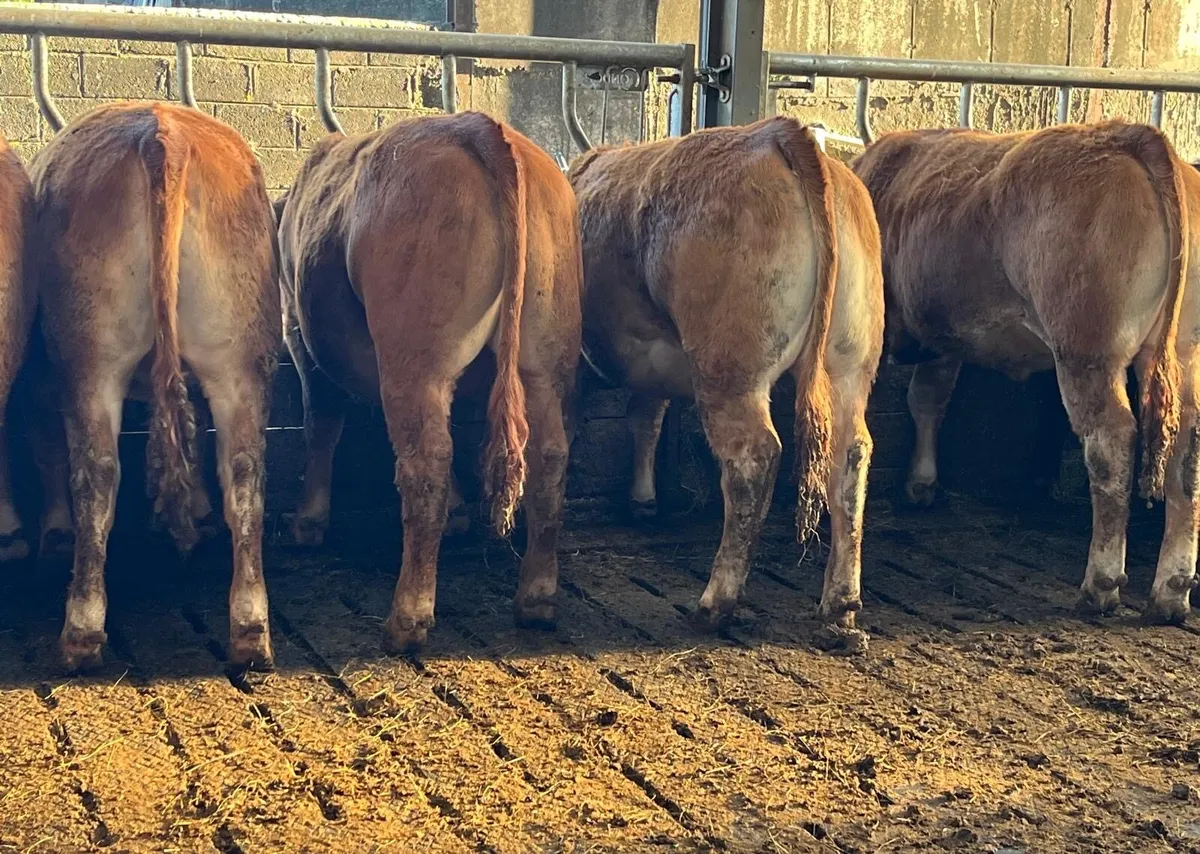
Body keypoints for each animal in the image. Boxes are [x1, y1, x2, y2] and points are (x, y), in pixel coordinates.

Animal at [31, 102, 281, 672]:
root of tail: (164, 132)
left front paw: (53, 532)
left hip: (92, 359)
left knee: (97, 474)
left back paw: (81, 630)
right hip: (239, 357)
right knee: (244, 471)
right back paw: (250, 630)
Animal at [277, 111, 581, 653]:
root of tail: (481, 128)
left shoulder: (299, 333)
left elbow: (321, 424)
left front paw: (308, 523)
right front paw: (460, 514)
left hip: (414, 357)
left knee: (426, 463)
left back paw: (407, 619)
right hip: (547, 354)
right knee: (548, 456)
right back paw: (537, 599)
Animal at [568, 115, 885, 646]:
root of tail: (780, 133)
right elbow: (645, 419)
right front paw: (643, 500)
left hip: (730, 371)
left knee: (752, 459)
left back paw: (714, 604)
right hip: (850, 364)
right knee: (852, 456)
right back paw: (840, 606)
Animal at [852, 120, 1199, 622]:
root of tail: (1131, 135)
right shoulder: (944, 337)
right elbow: (929, 399)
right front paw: (921, 483)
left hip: (1087, 351)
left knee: (1110, 443)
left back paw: (1101, 584)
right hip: (1184, 354)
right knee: (1187, 450)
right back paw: (1171, 591)